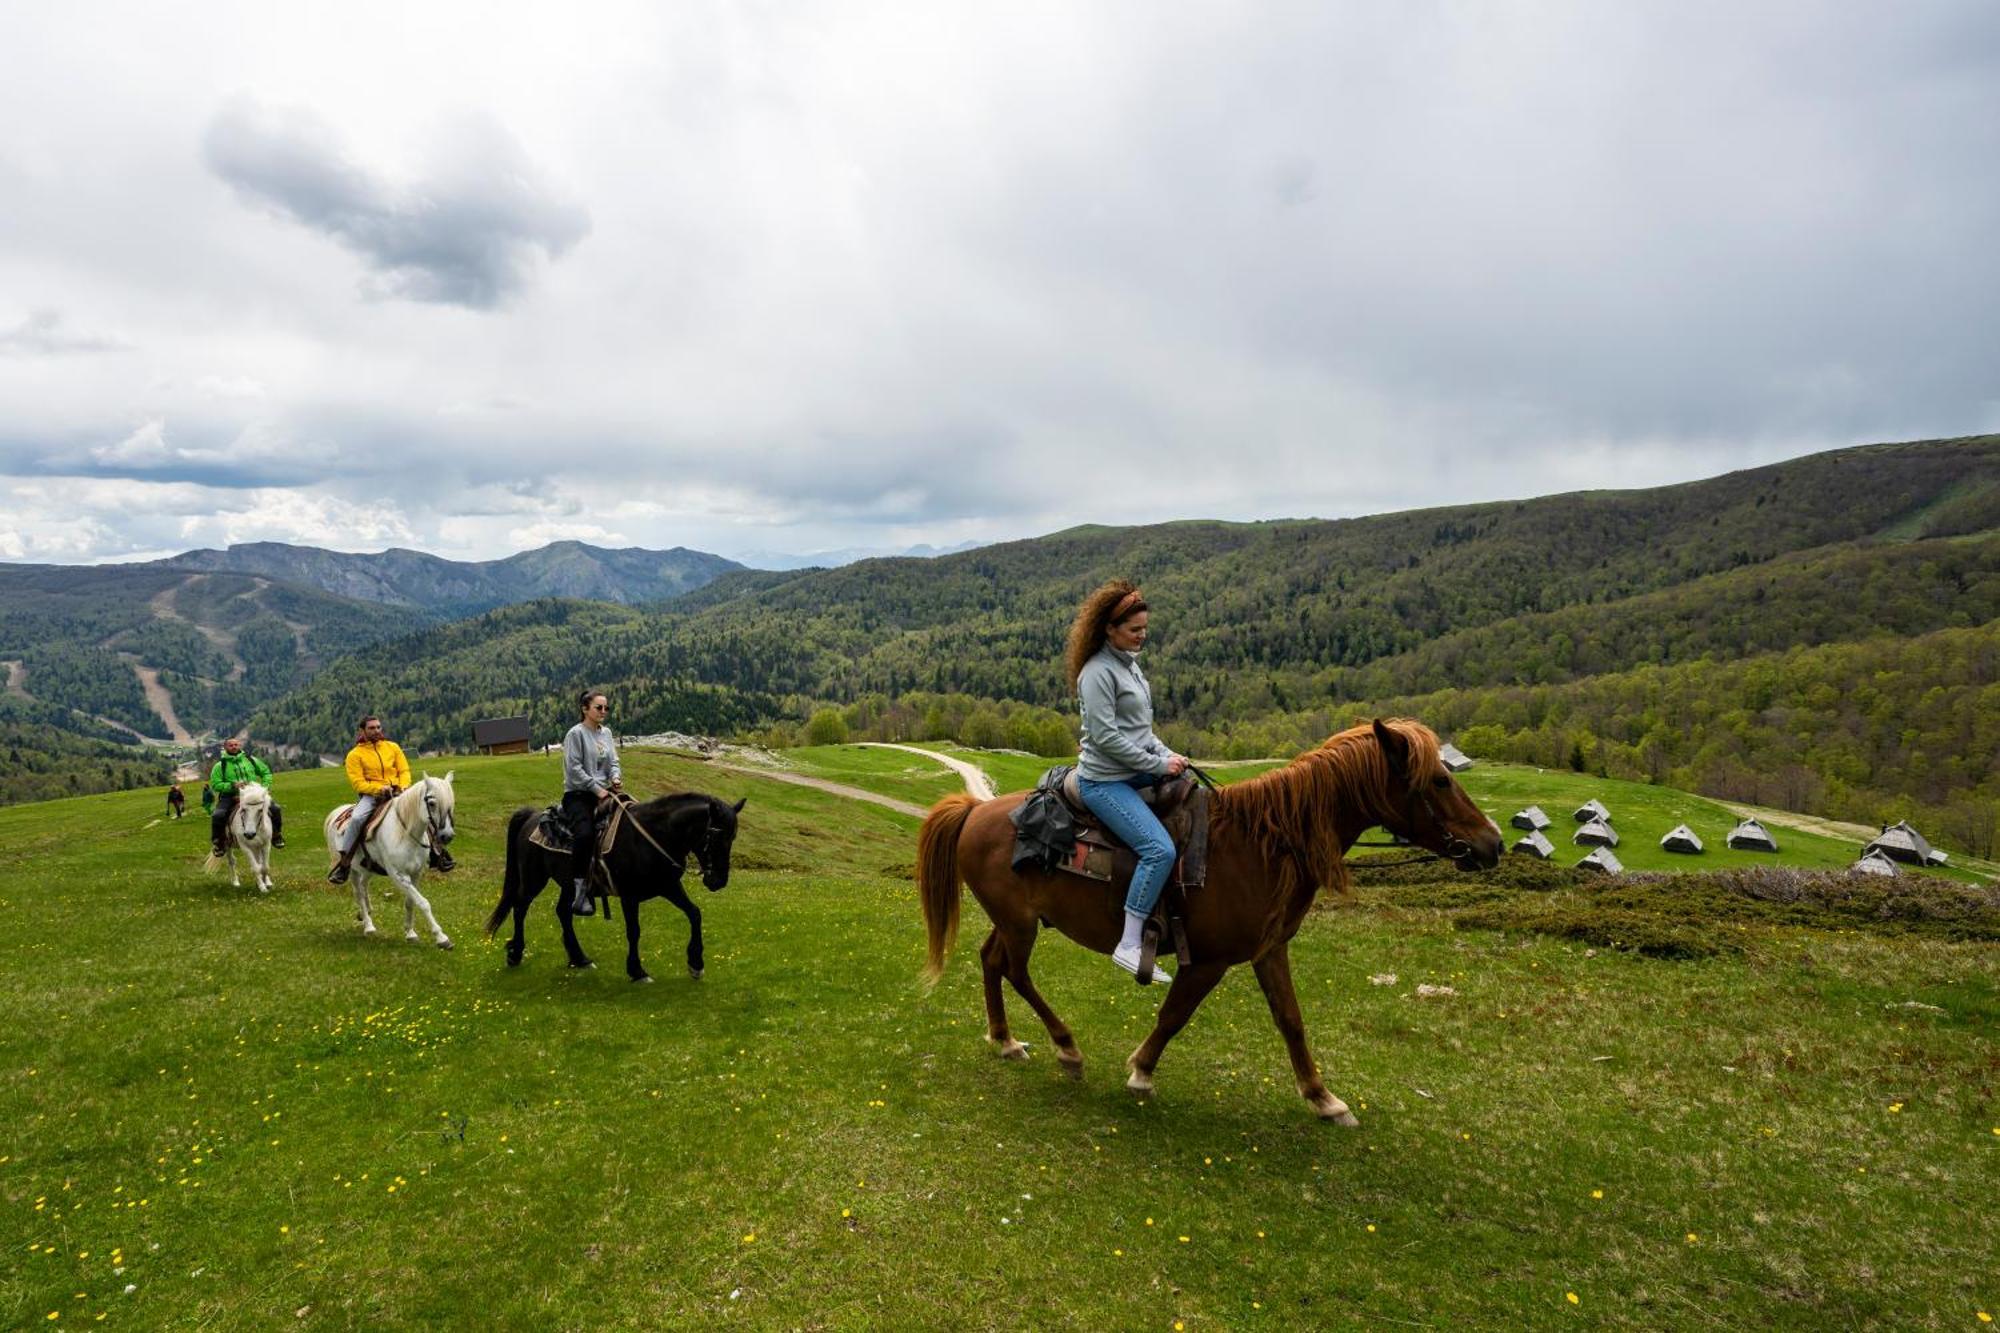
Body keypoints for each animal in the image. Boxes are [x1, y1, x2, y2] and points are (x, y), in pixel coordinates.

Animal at [322, 768, 458, 944]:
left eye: (452, 803)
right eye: (432, 803)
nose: (447, 836)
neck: (405, 833)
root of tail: (336, 813)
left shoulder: (416, 873)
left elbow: (410, 902)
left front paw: (410, 932)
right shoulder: (398, 875)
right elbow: (423, 902)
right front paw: (441, 937)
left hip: (367, 868)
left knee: (364, 886)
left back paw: (366, 912)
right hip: (351, 869)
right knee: (358, 893)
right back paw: (368, 926)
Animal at [488, 788, 748, 976]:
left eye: (734, 837)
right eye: (714, 836)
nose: (718, 881)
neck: (653, 835)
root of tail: (532, 817)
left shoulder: (669, 886)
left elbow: (694, 913)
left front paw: (695, 963)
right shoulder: (629, 896)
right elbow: (634, 931)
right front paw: (636, 970)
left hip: (569, 884)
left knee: (563, 912)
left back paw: (579, 958)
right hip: (534, 879)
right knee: (520, 907)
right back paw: (515, 953)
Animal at [920, 716, 1504, 1120]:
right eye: (1438, 781)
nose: (1493, 843)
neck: (1263, 845)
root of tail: (976, 811)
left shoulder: (1270, 950)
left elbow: (1291, 1021)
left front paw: (1323, 1098)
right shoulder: (1208, 961)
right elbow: (1174, 1016)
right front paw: (1141, 1071)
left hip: (1013, 921)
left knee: (991, 960)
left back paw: (1005, 1040)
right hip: (1020, 923)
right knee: (1014, 970)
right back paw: (1066, 1048)